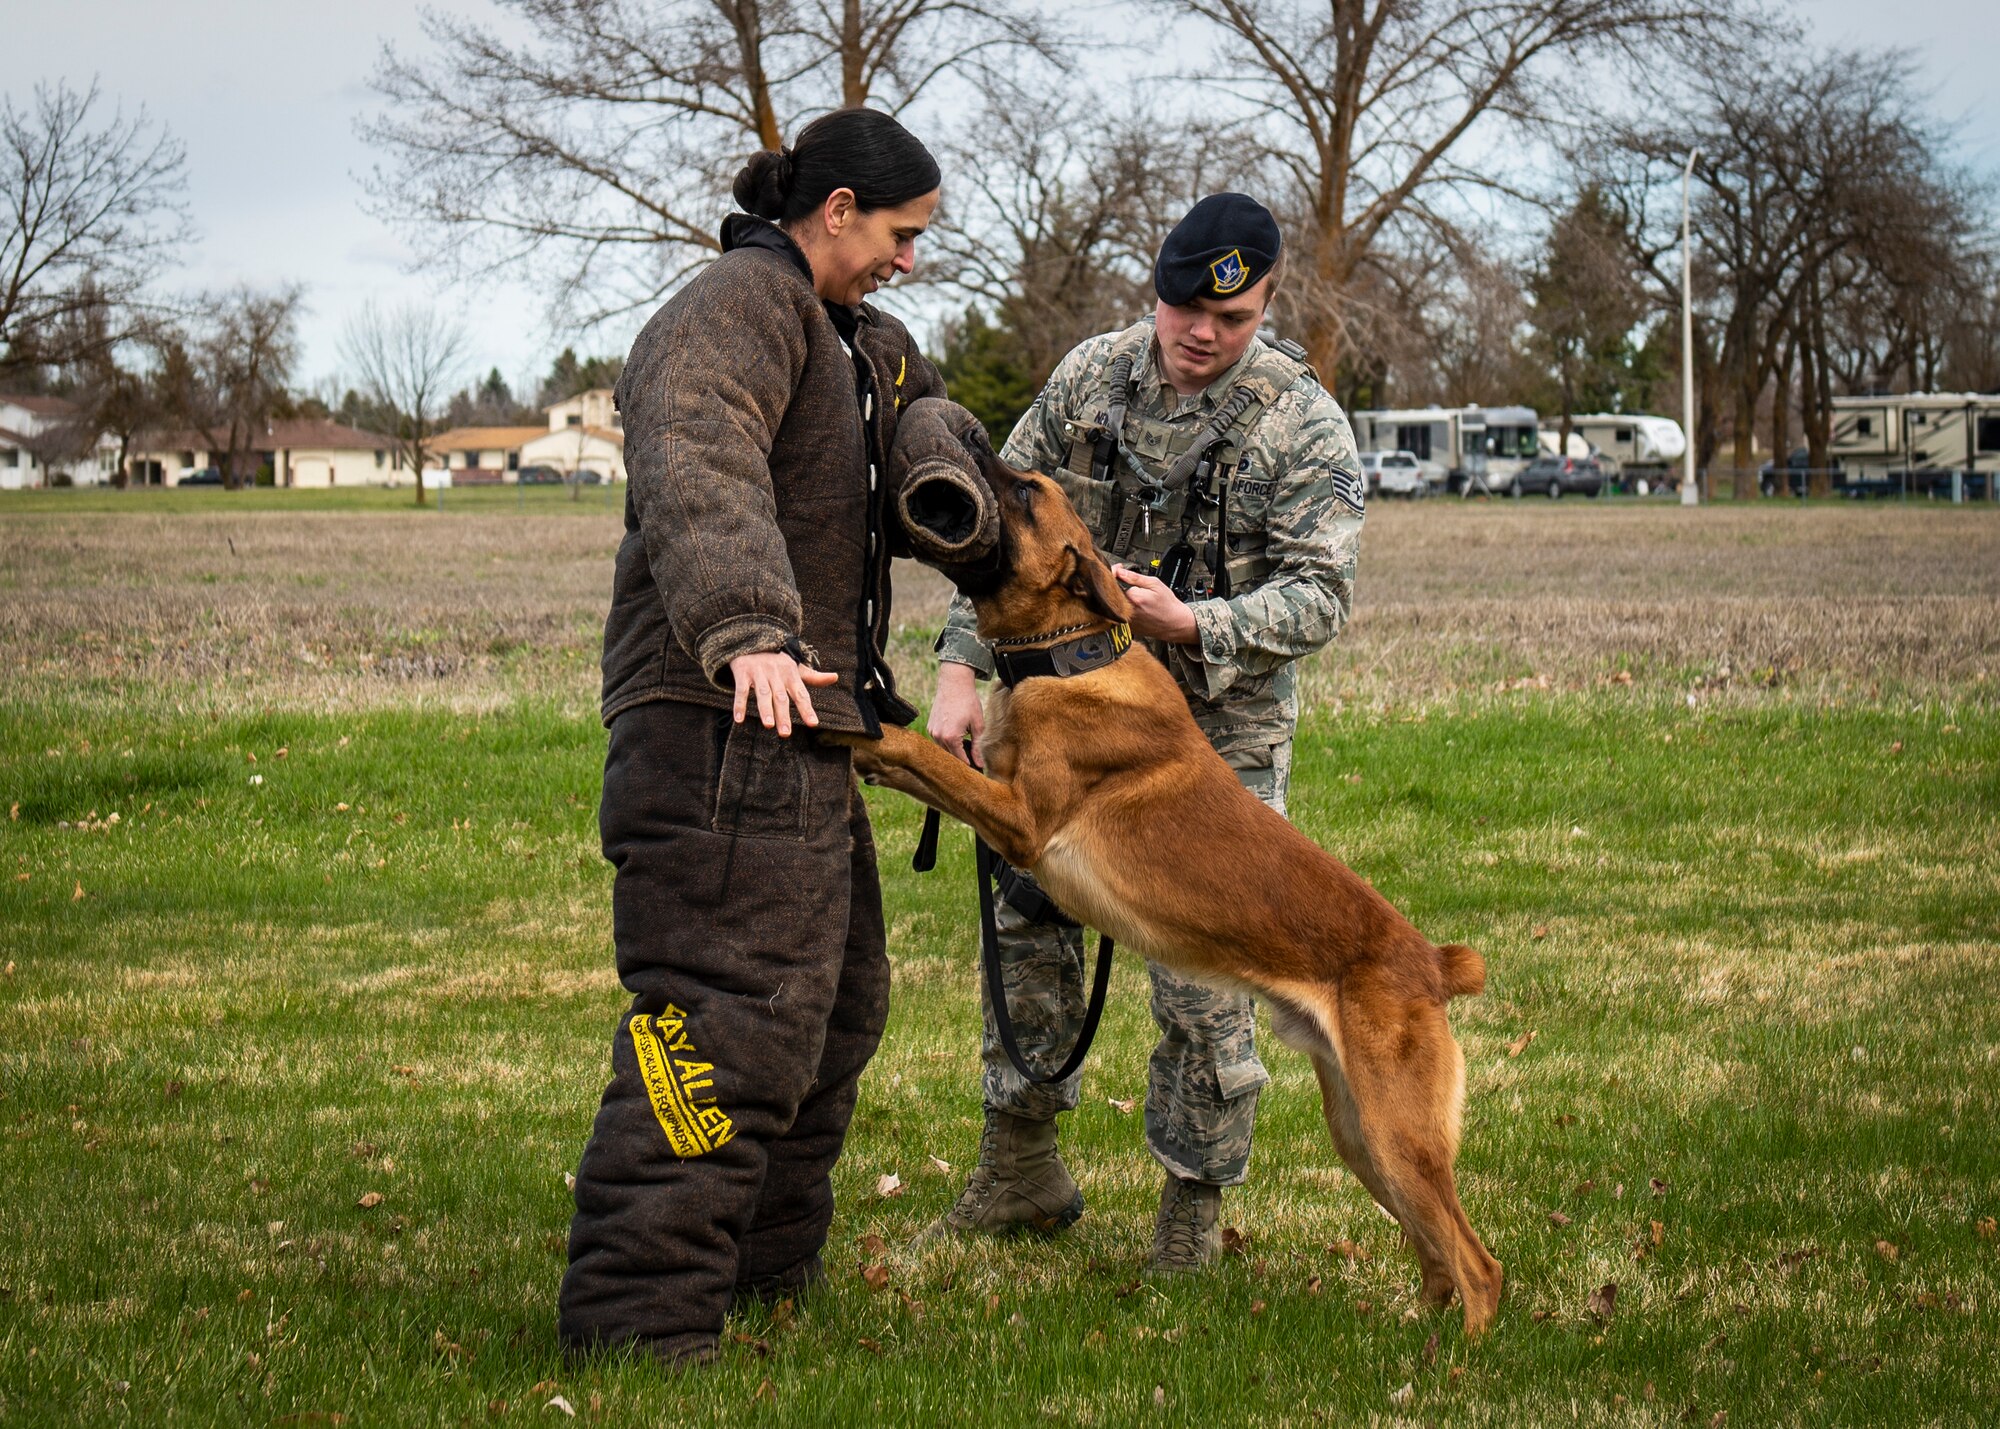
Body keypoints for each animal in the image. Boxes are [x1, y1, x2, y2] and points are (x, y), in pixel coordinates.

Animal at [832, 448, 1504, 1336]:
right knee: (1435, 1251)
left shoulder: (1021, 820)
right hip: (1361, 1133)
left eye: (1026, 493)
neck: (1072, 657)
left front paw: (859, 729)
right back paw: (1410, 1331)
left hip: (1398, 1132)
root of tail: (1431, 961)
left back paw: (1458, 1354)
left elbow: (922, 755)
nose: (978, 448)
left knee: (1479, 1264)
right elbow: (933, 759)